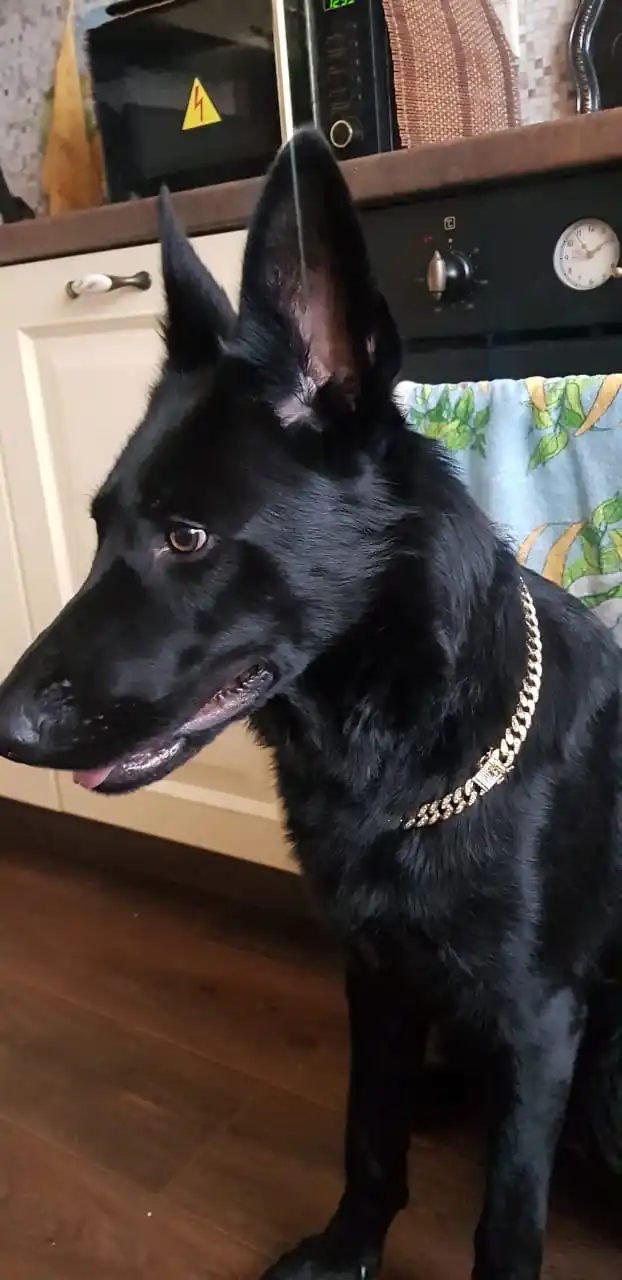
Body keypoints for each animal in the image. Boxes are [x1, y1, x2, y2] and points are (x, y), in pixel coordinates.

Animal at [0, 129, 620, 1280]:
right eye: (99, 525)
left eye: (186, 537)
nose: (4, 728)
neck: (402, 759)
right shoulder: (373, 976)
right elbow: (366, 1131)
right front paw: (346, 1246)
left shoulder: (538, 1020)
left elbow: (509, 1216)